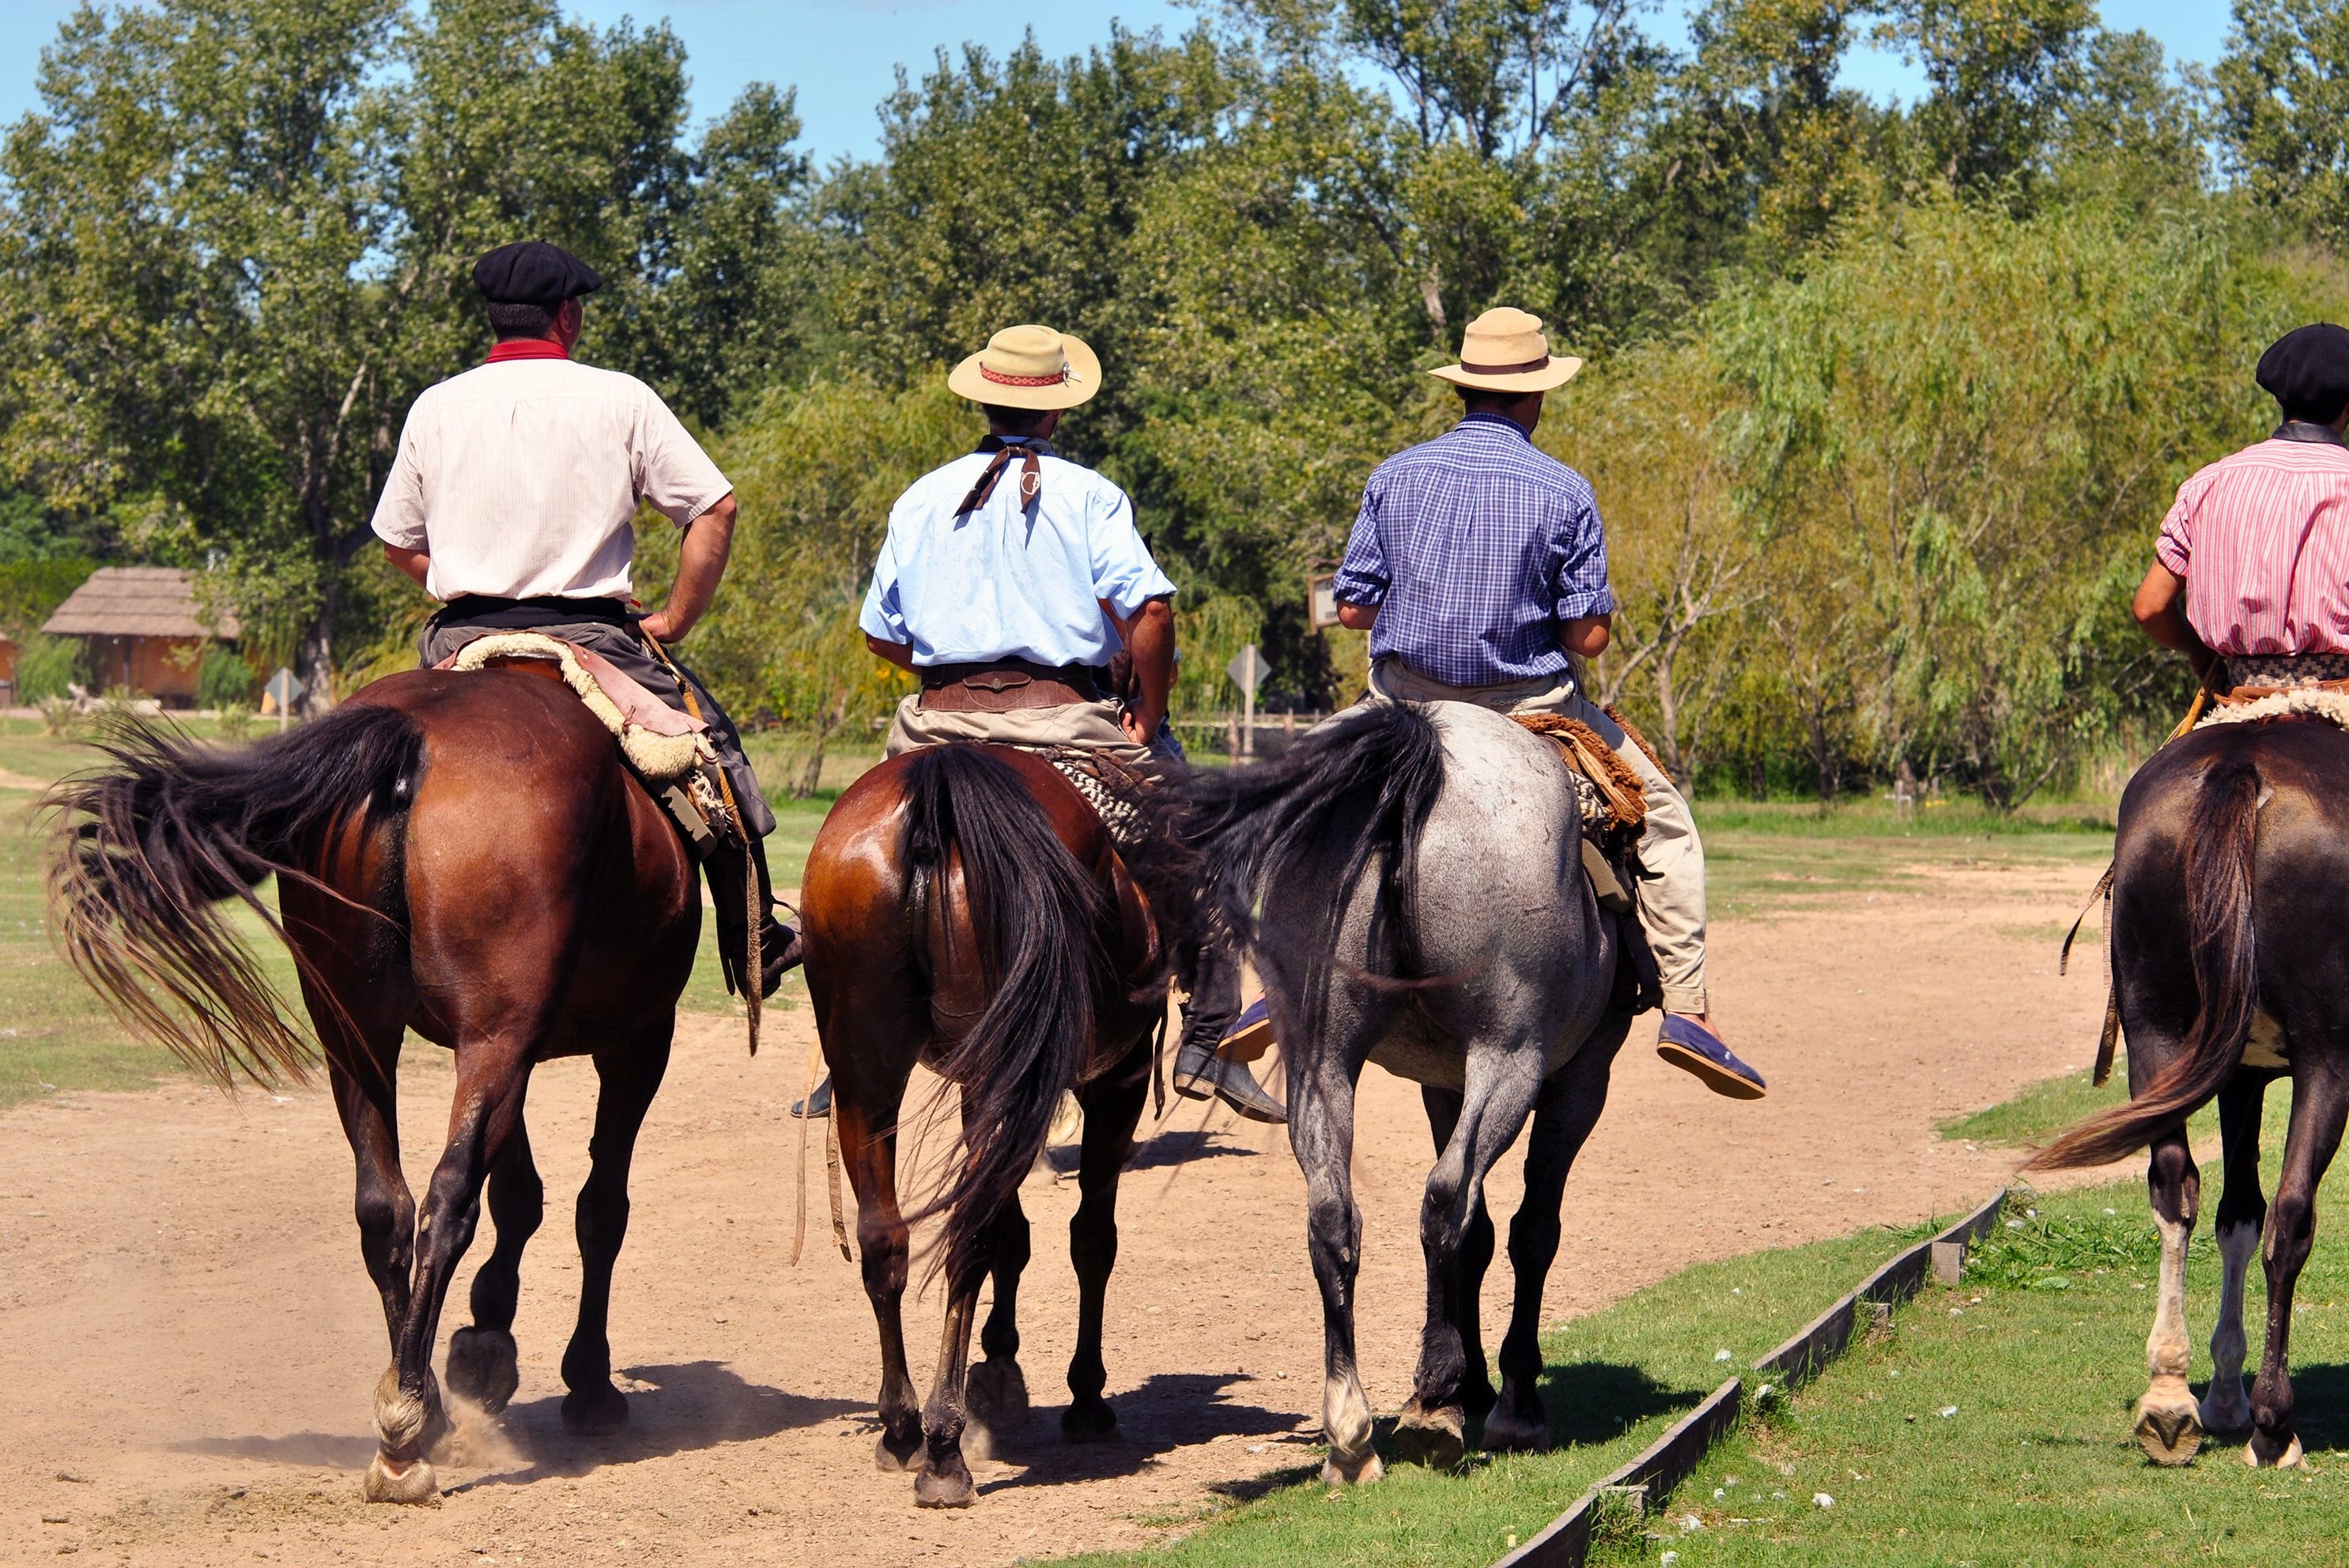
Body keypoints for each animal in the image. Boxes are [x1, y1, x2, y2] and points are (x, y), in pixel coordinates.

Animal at [48, 667, 703, 1502]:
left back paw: (417, 1404)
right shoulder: (637, 1039)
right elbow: (597, 1210)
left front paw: (486, 1343)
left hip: (363, 1034)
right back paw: (407, 1426)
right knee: (447, 1201)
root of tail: (412, 733)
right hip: (498, 1039)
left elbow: (519, 1195)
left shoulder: (508, 1048)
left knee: (384, 1206)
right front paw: (585, 1383)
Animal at [799, 741, 1177, 1507]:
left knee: (886, 1238)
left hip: (866, 1077)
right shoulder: (1113, 1083)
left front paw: (1000, 1370)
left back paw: (902, 1427)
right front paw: (1082, 1396)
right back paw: (944, 1446)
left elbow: (1016, 1232)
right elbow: (1090, 1239)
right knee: (968, 1236)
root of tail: (939, 785)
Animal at [1175, 698, 1640, 1482]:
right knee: (1446, 1201)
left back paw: (1352, 1429)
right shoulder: (1581, 1078)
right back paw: (1430, 1402)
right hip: (1509, 1058)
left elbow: (1481, 1236)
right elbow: (1529, 1231)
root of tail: (1420, 741)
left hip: (1325, 1060)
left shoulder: (1441, 1083)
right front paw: (1508, 1397)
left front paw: (1473, 1385)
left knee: (1335, 1217)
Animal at [2030, 717, 2349, 1470]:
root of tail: (2239, 764)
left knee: (2175, 1186)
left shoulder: (2241, 1075)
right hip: (2329, 1058)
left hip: (2156, 1032)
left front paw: (2223, 1388)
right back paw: (2271, 1424)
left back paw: (2171, 1397)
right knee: (2292, 1216)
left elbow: (2236, 1216)